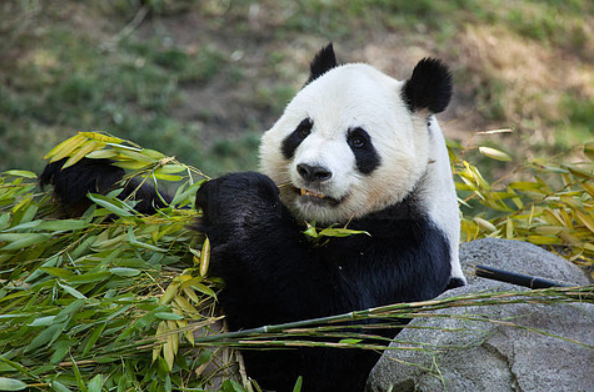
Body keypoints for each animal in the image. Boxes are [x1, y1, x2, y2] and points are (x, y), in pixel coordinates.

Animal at [42, 44, 468, 390]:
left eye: (359, 140)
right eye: (302, 130)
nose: (313, 171)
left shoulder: (411, 254)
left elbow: (316, 332)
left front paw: (238, 193)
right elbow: (155, 213)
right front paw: (84, 170)